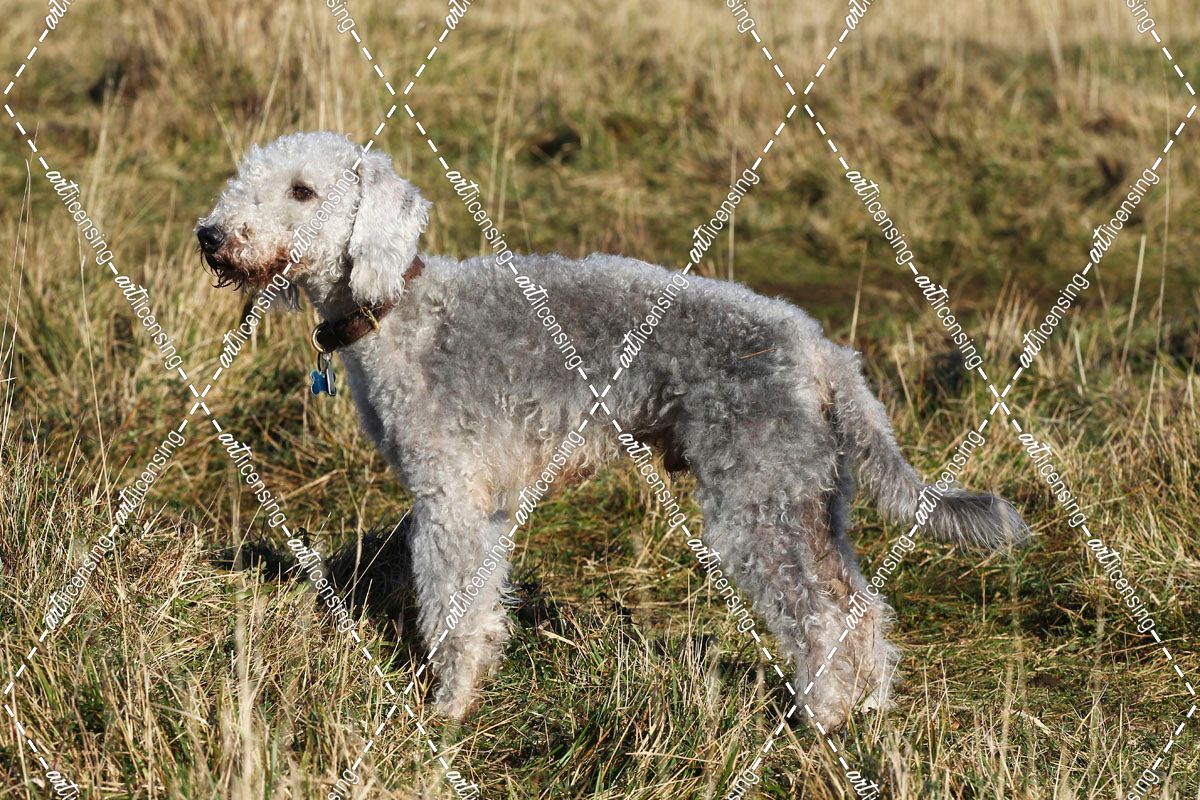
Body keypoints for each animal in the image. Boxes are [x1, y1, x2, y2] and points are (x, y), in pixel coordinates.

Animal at [197, 131, 1028, 729]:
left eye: (303, 190)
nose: (212, 234)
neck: (397, 310)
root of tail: (822, 352)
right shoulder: (484, 504)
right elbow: (484, 603)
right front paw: (477, 681)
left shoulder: (447, 496)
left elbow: (451, 608)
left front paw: (446, 709)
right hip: (811, 495)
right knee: (858, 604)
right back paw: (871, 706)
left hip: (756, 498)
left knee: (820, 615)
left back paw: (816, 722)